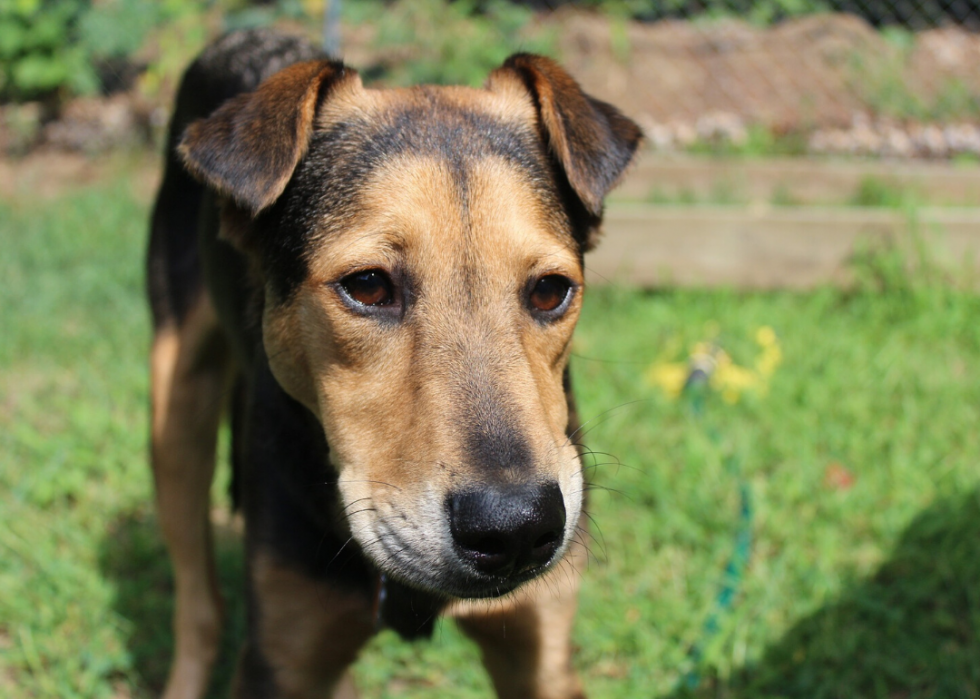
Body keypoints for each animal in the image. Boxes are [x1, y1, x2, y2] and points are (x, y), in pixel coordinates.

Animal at [144, 28, 636, 699]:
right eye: (369, 286)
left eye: (550, 291)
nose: (516, 529)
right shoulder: (281, 657)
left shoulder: (538, 646)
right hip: (176, 413)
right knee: (198, 610)